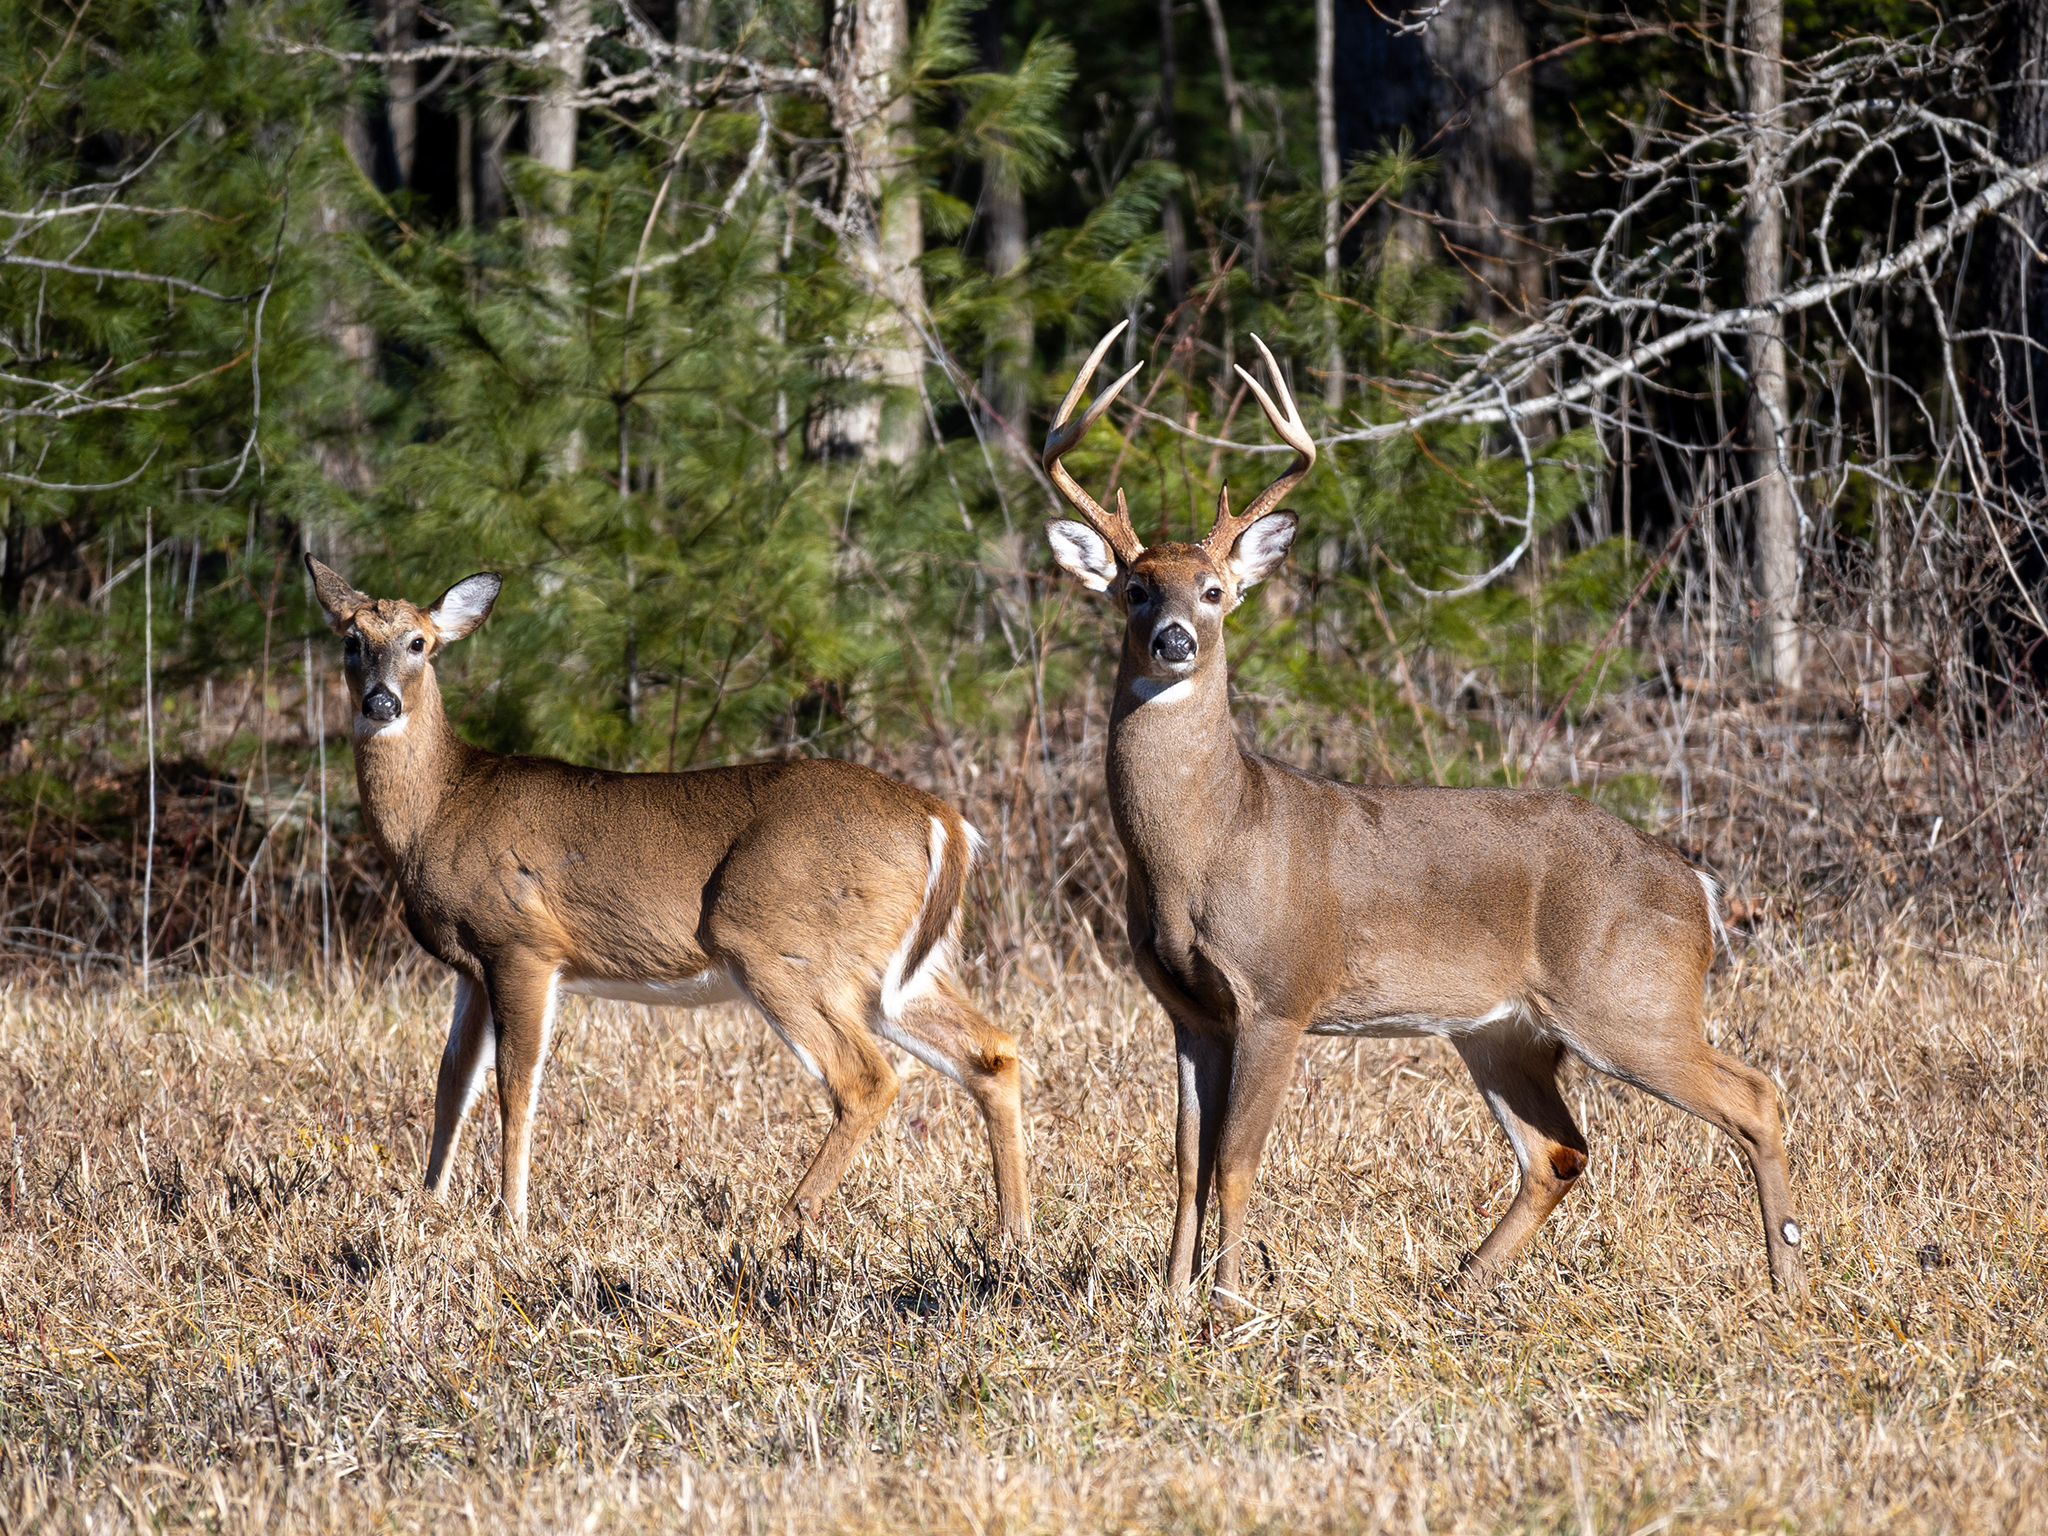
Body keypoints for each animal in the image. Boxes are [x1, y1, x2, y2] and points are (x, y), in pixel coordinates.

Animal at [304, 555, 1031, 1244]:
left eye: (420, 643)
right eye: (351, 640)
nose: (381, 703)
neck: (440, 808)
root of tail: (944, 821)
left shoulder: (522, 942)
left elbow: (517, 1083)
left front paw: (511, 1219)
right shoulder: (470, 968)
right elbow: (452, 1080)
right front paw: (428, 1204)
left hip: (779, 943)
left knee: (868, 1078)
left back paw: (783, 1220)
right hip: (894, 971)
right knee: (991, 1052)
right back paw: (1012, 1233)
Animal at [1040, 323, 1807, 1310]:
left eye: (1213, 591)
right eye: (1135, 588)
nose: (1175, 638)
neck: (1206, 846)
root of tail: (1699, 887)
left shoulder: (1281, 993)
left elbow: (1238, 1162)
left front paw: (1230, 1303)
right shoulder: (1187, 1010)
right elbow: (1185, 1164)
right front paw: (1171, 1301)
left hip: (1630, 999)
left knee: (1755, 1096)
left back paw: (1787, 1278)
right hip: (1503, 1030)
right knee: (1560, 1151)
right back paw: (1458, 1286)